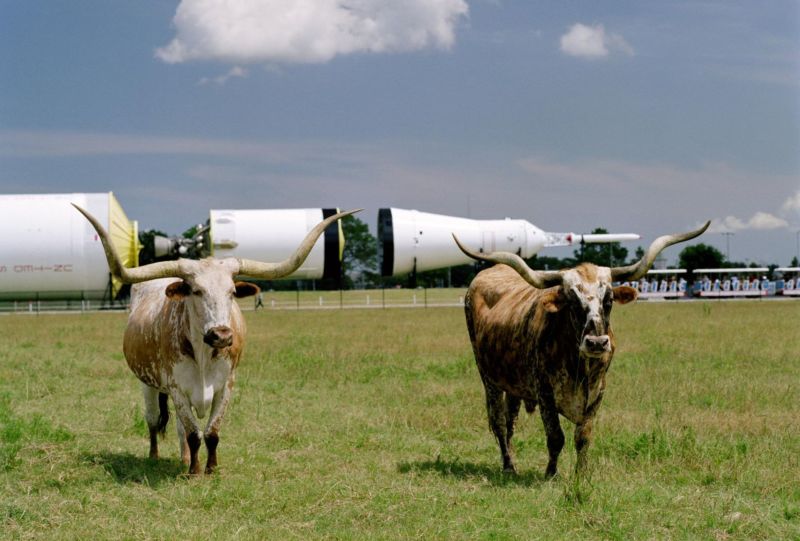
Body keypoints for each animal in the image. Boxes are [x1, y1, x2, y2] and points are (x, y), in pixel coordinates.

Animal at [74, 205, 359, 475]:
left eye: (231, 291)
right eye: (196, 291)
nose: (221, 335)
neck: (203, 356)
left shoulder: (226, 387)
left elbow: (210, 433)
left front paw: (209, 469)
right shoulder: (177, 389)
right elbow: (193, 433)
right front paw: (194, 472)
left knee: (178, 429)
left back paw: (184, 459)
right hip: (147, 384)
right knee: (153, 420)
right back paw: (155, 457)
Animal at [453, 221, 708, 478]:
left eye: (609, 300)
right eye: (572, 302)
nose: (596, 343)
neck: (579, 365)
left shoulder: (598, 391)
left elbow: (583, 437)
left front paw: (582, 475)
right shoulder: (545, 392)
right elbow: (556, 437)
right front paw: (551, 474)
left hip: (513, 384)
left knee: (510, 422)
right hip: (489, 378)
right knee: (498, 422)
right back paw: (508, 465)